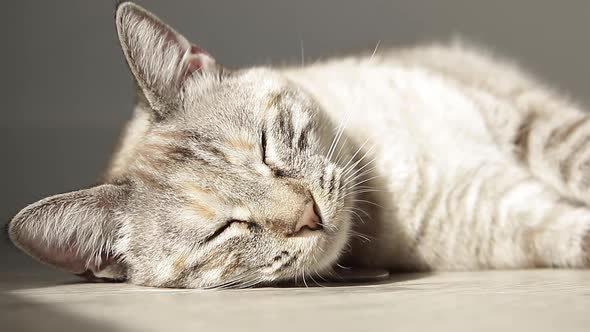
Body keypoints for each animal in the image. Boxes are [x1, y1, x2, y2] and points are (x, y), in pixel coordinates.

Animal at [8, 1, 590, 288]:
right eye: (225, 229)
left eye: (266, 148)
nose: (309, 214)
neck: (386, 182)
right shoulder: (511, 214)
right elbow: (575, 232)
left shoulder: (521, 115)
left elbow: (577, 157)